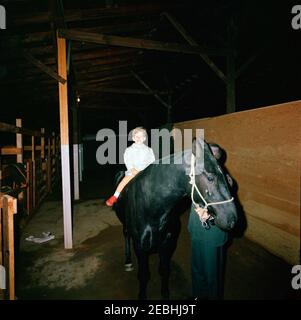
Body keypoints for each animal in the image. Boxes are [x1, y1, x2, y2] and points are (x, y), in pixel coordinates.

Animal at [112, 138, 237, 300]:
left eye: (227, 177)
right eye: (210, 177)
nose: (232, 219)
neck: (153, 209)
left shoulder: (167, 244)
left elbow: (164, 270)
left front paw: (165, 293)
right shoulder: (140, 248)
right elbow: (144, 275)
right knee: (126, 234)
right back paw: (127, 261)